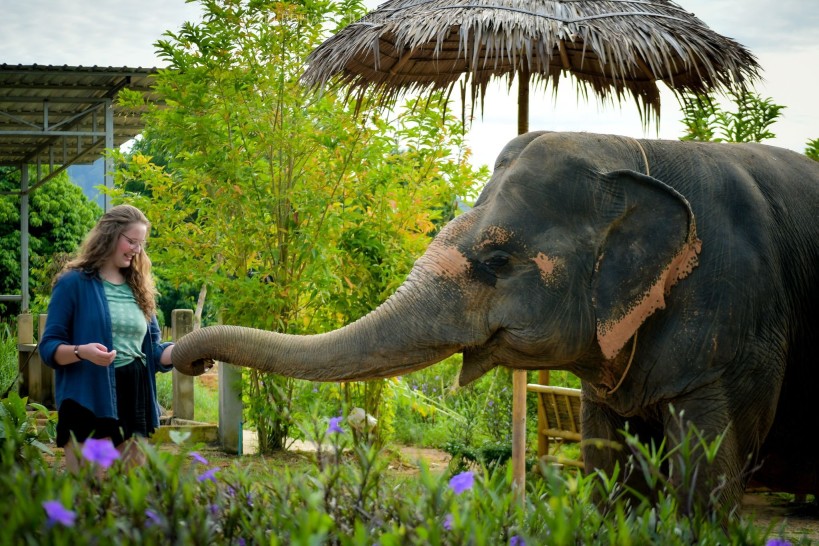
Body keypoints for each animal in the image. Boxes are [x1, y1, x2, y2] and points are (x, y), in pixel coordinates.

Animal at [173, 131, 819, 512]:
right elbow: (607, 467)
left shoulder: (738, 332)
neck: (637, 152)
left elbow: (706, 487)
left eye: (497, 262)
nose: (190, 358)